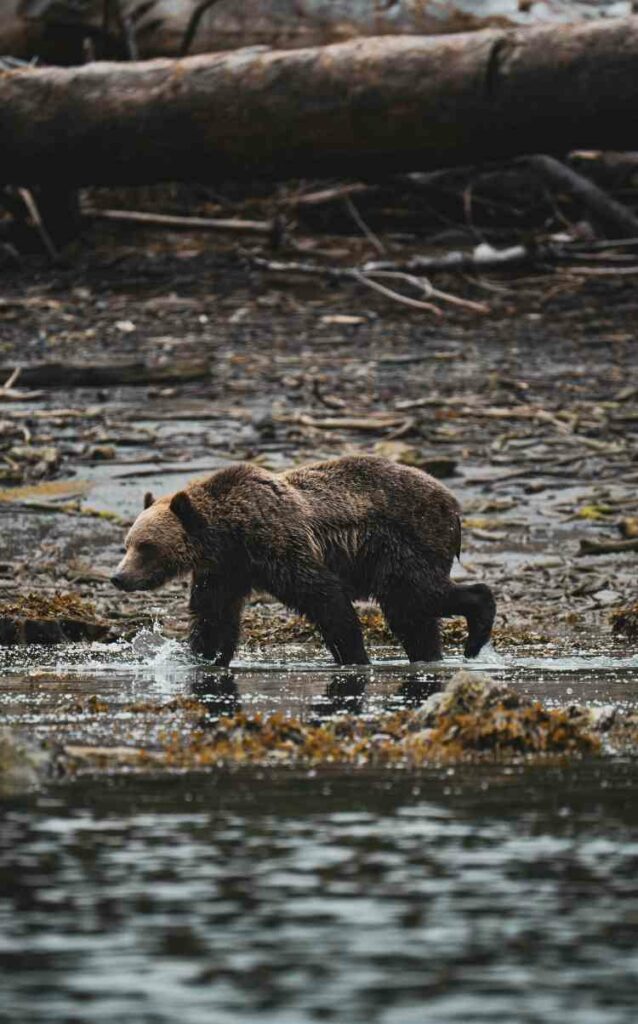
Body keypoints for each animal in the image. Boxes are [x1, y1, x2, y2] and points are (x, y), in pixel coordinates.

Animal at [111, 455, 496, 666]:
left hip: (404, 543)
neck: (229, 532)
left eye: (146, 546)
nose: (119, 577)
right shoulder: (225, 570)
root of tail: (453, 502)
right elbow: (213, 616)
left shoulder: (278, 545)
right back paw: (430, 654)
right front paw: (203, 657)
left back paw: (475, 631)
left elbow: (325, 597)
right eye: (127, 545)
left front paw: (354, 656)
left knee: (416, 596)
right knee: (412, 617)